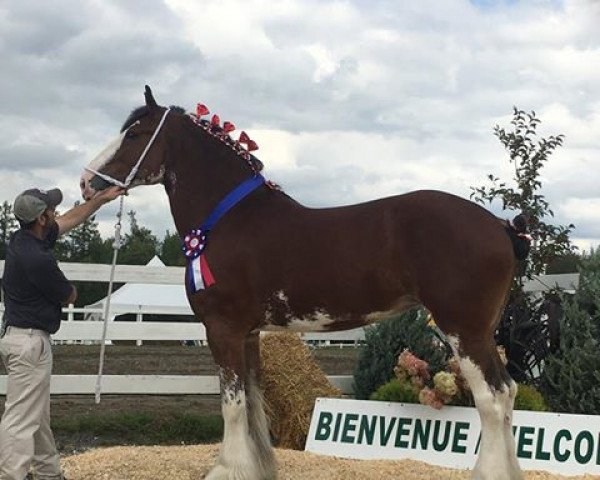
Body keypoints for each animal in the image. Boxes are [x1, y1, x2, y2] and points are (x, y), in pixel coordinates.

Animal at [81, 87, 528, 480]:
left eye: (134, 134)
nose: (87, 182)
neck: (230, 219)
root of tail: (500, 225)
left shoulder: (223, 329)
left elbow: (232, 404)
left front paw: (228, 469)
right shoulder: (249, 333)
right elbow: (253, 401)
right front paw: (258, 467)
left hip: (463, 329)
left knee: (491, 398)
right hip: (481, 331)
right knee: (507, 393)